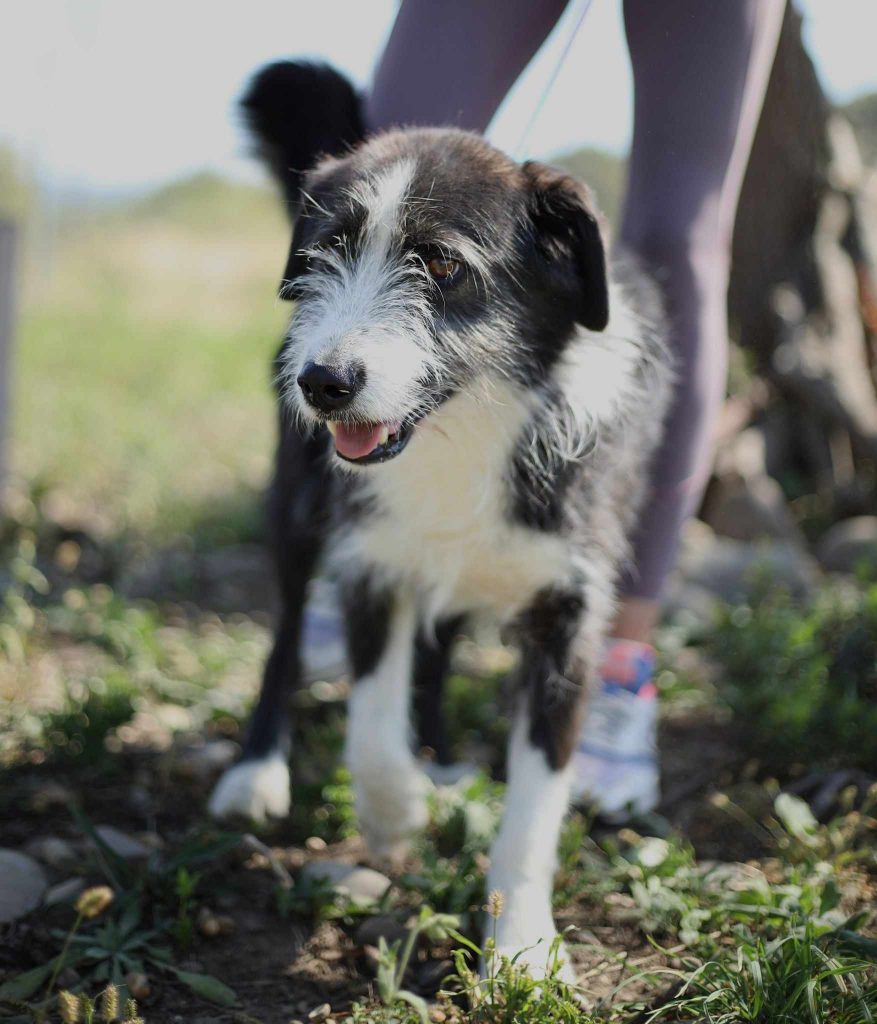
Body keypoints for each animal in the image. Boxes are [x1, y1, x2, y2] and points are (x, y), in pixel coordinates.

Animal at [209, 64, 676, 974]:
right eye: (323, 256)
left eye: (438, 263)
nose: (322, 383)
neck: (466, 425)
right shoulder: (369, 560)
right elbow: (368, 727)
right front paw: (394, 813)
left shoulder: (569, 613)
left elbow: (535, 802)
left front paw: (522, 943)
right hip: (298, 508)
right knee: (286, 634)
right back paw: (259, 770)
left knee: (437, 647)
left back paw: (443, 757)